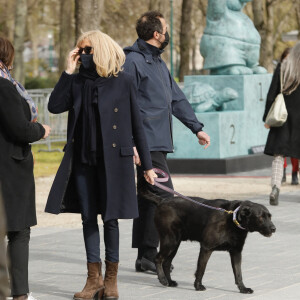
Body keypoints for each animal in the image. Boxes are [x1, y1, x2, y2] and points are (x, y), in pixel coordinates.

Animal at [138, 182, 274, 294]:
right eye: (260, 217)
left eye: (270, 216)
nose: (274, 228)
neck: (232, 219)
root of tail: (162, 200)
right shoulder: (206, 248)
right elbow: (201, 269)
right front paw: (198, 286)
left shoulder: (236, 252)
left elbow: (238, 273)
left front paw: (243, 288)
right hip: (169, 241)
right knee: (158, 259)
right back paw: (162, 280)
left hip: (175, 244)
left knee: (166, 262)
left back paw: (170, 282)